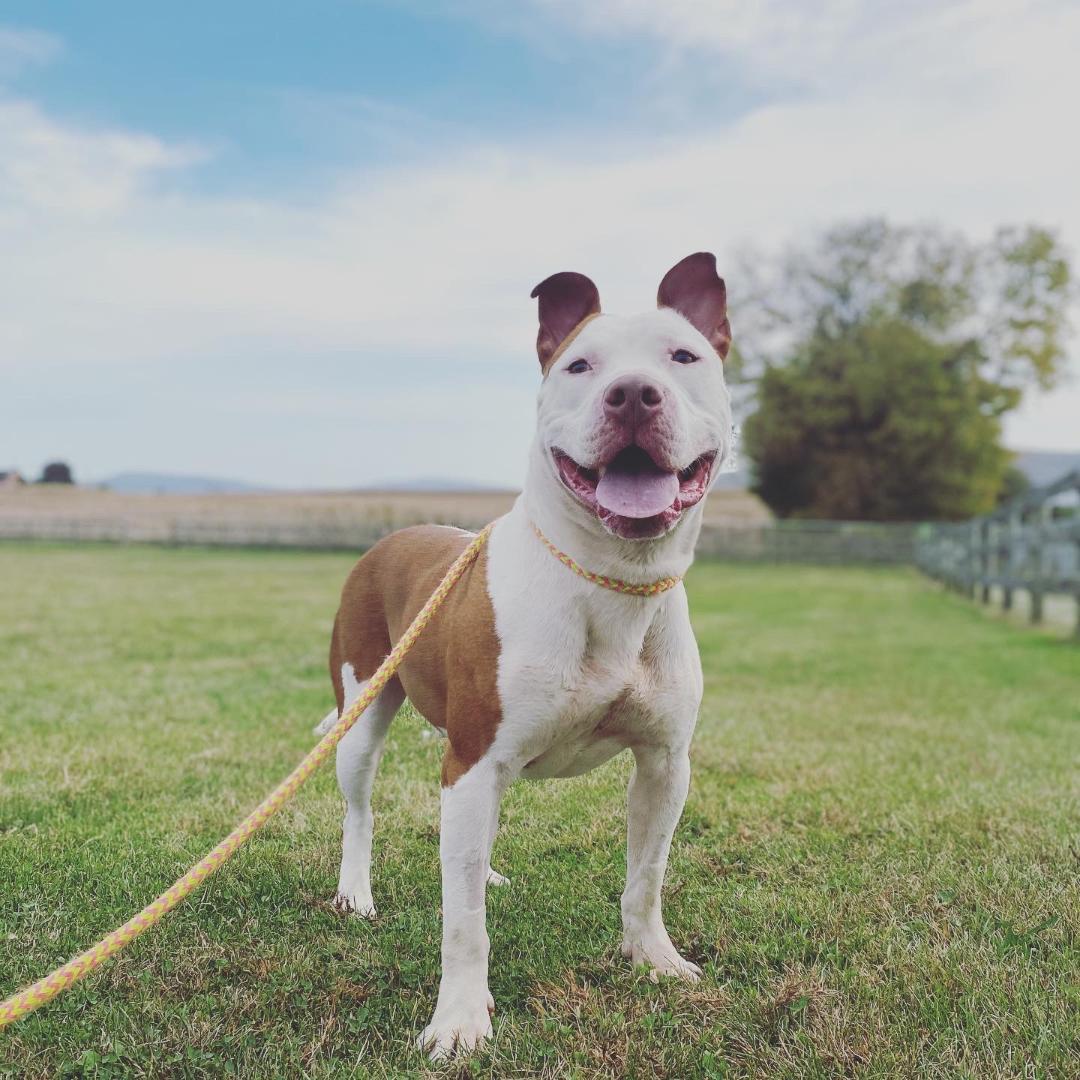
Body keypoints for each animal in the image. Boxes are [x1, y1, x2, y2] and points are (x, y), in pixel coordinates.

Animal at [315, 250, 734, 1054]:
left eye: (683, 357)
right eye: (580, 365)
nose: (633, 394)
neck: (612, 580)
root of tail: (392, 536)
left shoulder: (666, 764)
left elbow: (647, 874)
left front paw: (652, 958)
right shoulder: (473, 761)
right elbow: (463, 926)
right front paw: (458, 1020)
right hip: (362, 710)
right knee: (361, 809)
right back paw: (356, 890)